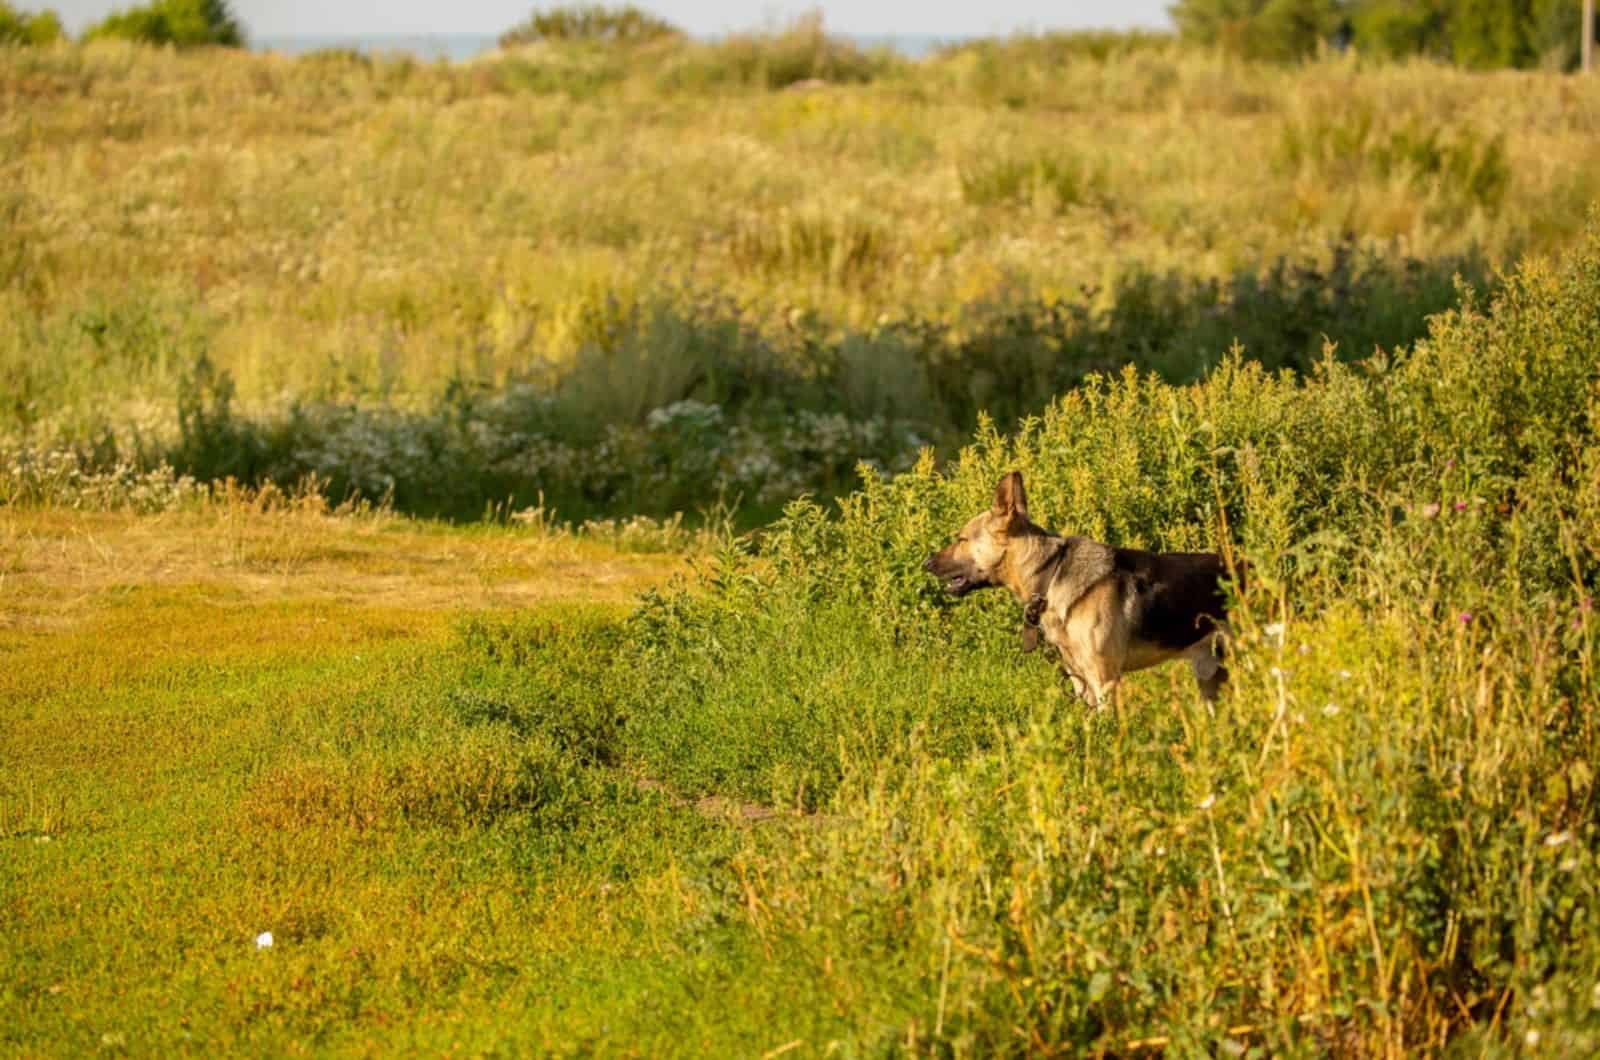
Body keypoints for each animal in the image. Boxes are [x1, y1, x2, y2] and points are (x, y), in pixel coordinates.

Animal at [928, 473, 1235, 710]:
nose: (926, 563)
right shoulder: (1080, 681)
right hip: (1211, 679)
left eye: (961, 539)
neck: (1050, 574)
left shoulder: (1104, 680)